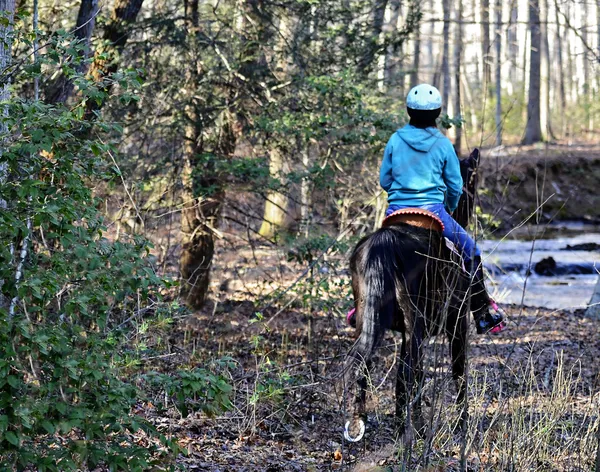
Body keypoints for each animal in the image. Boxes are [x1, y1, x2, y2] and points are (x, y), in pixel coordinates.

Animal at [344, 148, 480, 442]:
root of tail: (382, 244)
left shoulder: (405, 335)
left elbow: (400, 382)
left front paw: (398, 426)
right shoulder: (457, 325)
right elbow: (458, 372)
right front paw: (461, 425)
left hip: (371, 323)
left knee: (364, 365)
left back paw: (359, 424)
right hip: (417, 324)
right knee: (412, 372)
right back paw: (418, 430)